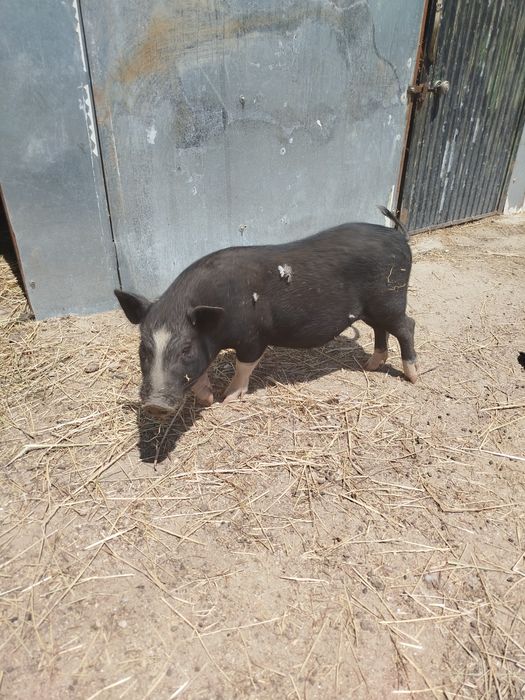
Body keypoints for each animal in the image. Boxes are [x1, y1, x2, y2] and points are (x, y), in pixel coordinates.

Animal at [115, 207, 417, 418]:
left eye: (185, 349)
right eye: (144, 349)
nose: (155, 405)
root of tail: (398, 235)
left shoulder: (253, 337)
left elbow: (244, 365)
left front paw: (227, 398)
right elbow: (201, 370)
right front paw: (207, 400)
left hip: (391, 298)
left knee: (407, 326)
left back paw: (412, 376)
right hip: (371, 309)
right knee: (381, 329)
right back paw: (369, 366)